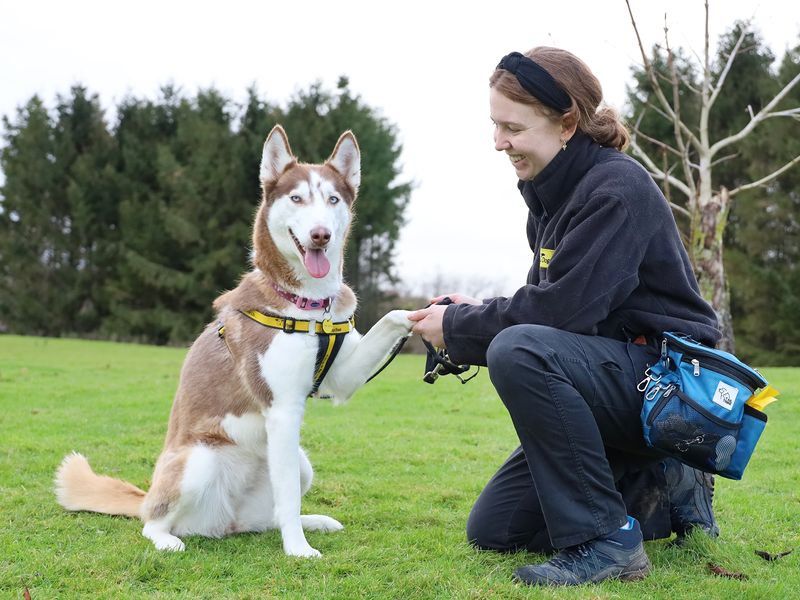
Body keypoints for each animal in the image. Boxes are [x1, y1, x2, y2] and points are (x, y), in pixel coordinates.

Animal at [56, 126, 416, 556]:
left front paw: (428, 315)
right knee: (154, 522)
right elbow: (288, 498)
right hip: (199, 462)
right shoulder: (282, 410)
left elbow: (393, 318)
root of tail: (226, 523)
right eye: (297, 198)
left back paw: (314, 521)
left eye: (332, 199)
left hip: (300, 463)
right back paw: (167, 540)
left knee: (273, 514)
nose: (320, 235)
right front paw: (299, 551)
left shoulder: (341, 379)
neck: (308, 305)